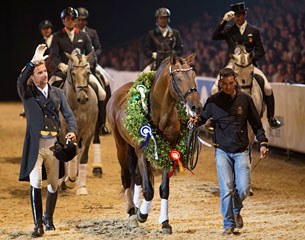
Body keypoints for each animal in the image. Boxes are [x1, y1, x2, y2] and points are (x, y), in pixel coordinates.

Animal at [58, 48, 97, 195]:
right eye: (73, 73)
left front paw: (81, 187)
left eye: (88, 73)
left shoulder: (89, 132)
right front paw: (68, 180)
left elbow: (83, 157)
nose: (83, 98)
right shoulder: (64, 132)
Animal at [107, 53, 202, 233]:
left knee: (136, 177)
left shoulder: (169, 153)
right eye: (178, 77)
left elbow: (163, 189)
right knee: (126, 177)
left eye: (193, 75)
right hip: (121, 147)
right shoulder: (142, 154)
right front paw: (142, 215)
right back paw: (132, 213)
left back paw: (136, 207)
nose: (196, 107)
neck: (160, 116)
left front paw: (165, 222)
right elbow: (148, 190)